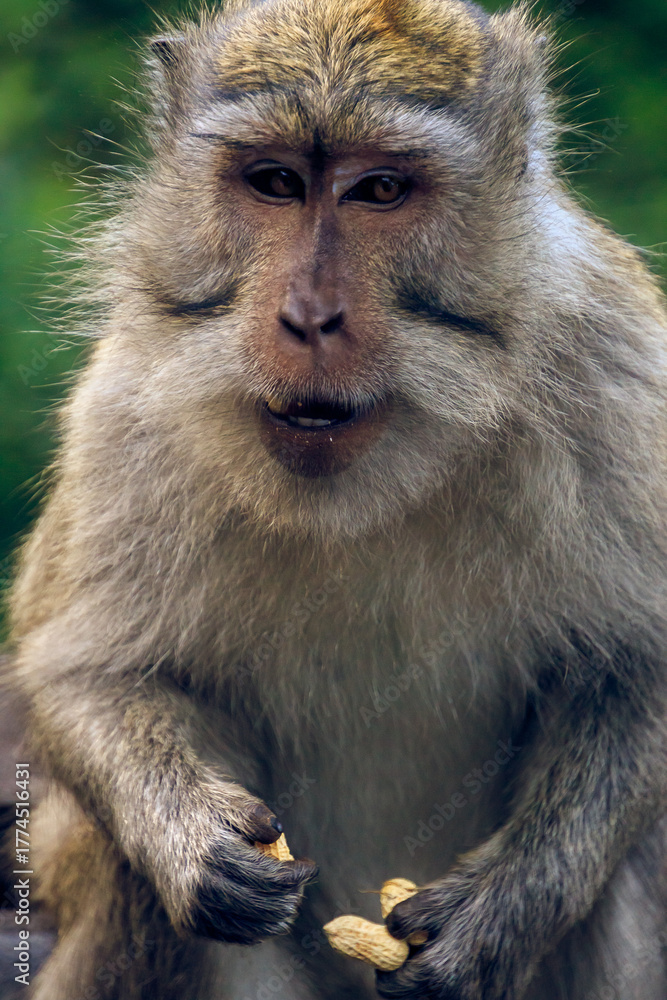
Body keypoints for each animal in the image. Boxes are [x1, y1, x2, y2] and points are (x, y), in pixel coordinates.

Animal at [3, 0, 666, 997]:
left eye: (380, 191)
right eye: (275, 182)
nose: (308, 318)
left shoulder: (617, 367)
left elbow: (636, 672)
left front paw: (492, 919)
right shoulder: (126, 408)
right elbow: (85, 675)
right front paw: (191, 842)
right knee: (134, 889)